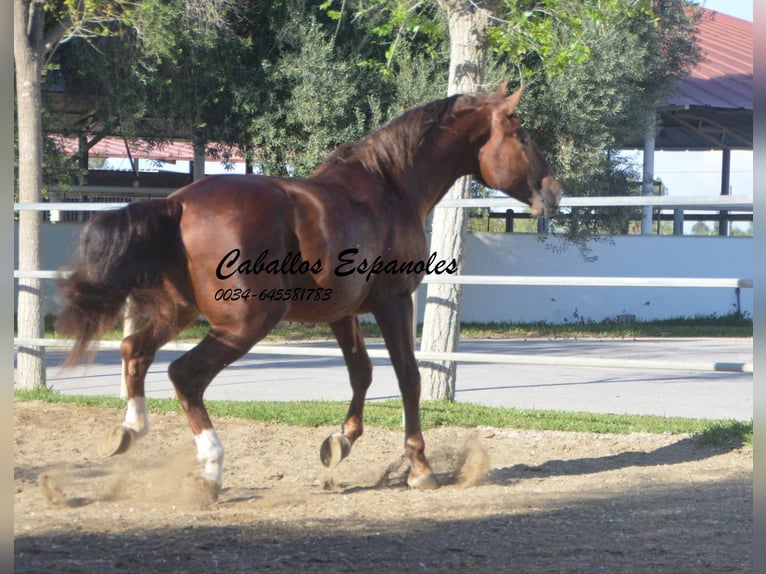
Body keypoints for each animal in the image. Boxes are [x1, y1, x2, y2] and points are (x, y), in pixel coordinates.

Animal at [57, 85, 564, 500]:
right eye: (522, 137)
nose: (555, 194)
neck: (387, 188)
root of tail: (177, 203)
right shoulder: (393, 302)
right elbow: (408, 378)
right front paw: (420, 468)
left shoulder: (342, 313)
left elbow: (362, 373)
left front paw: (339, 443)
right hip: (246, 322)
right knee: (185, 374)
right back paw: (211, 471)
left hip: (178, 312)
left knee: (134, 350)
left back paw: (128, 432)